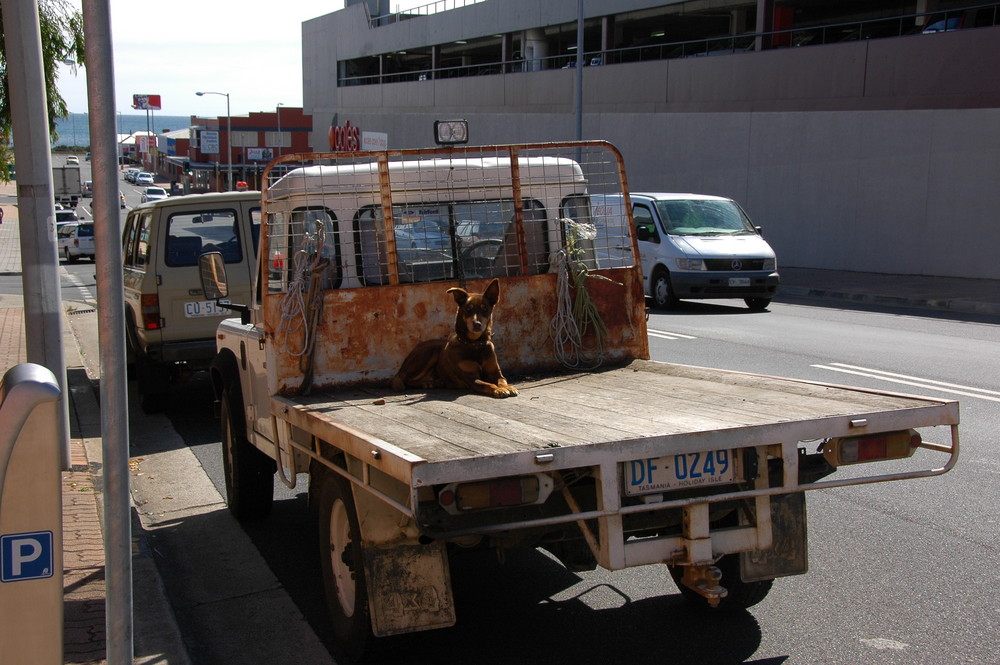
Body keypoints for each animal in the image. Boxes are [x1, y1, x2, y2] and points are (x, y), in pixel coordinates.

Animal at [390, 278, 520, 396]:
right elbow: (488, 384)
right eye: (468, 309)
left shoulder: (495, 373)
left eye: (485, 309)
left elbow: (502, 380)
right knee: (406, 379)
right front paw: (499, 390)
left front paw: (508, 387)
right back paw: (427, 383)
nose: (477, 324)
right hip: (429, 353)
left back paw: (434, 382)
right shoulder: (471, 378)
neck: (475, 344)